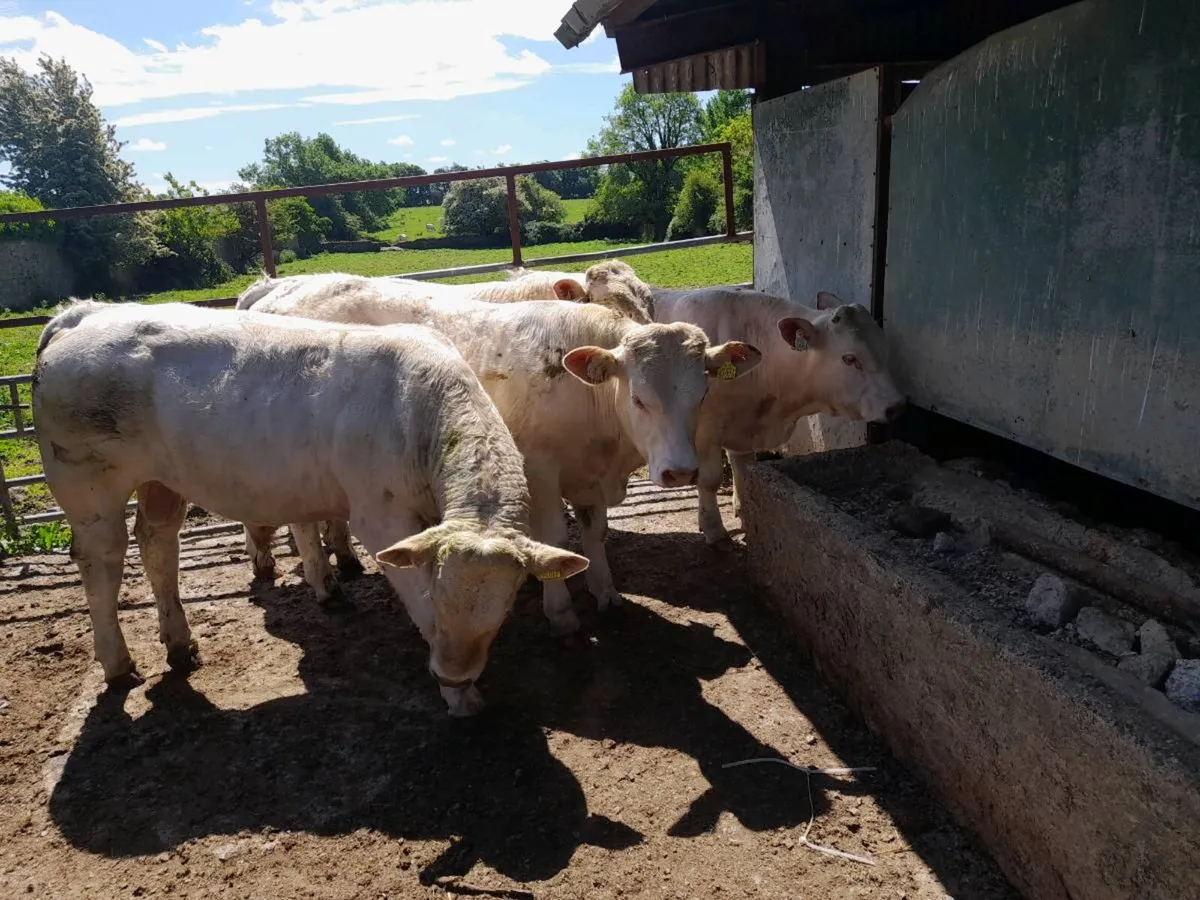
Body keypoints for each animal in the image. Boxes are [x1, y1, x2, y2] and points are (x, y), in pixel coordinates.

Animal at [32, 299, 588, 716]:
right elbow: (418, 602)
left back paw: (179, 642)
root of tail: (82, 314)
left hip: (160, 481)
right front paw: (458, 695)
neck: (421, 412)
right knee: (101, 563)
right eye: (443, 597)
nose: (453, 672)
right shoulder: (380, 518)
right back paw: (117, 661)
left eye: (503, 608)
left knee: (157, 544)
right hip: (88, 488)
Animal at [237, 275, 763, 634]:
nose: (680, 471)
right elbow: (554, 536)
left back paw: (342, 559)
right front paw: (560, 609)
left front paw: (606, 592)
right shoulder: (539, 469)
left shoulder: (588, 475)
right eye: (638, 398)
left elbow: (593, 532)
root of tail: (278, 290)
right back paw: (324, 583)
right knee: (302, 522)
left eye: (701, 394)